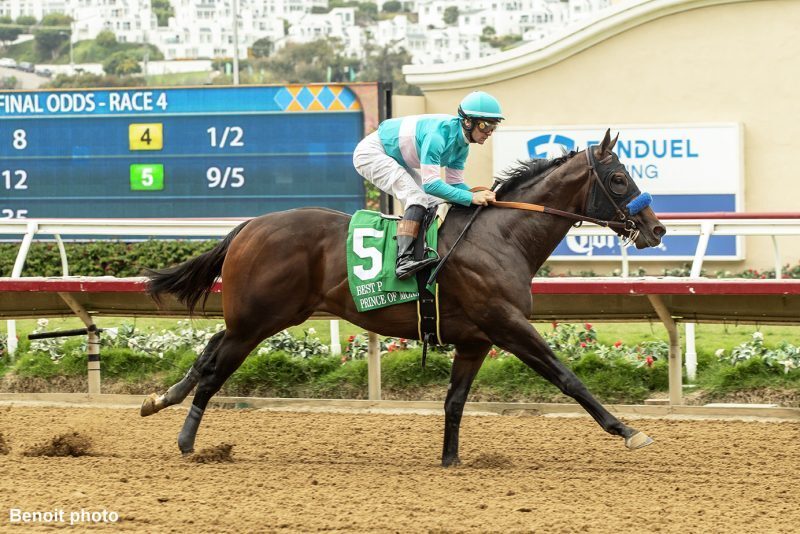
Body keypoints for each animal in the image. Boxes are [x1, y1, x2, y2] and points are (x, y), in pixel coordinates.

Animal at [145, 132, 668, 466]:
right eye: (619, 179)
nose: (656, 229)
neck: (502, 236)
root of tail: (250, 225)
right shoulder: (508, 325)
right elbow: (568, 378)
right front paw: (628, 431)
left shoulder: (476, 339)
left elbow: (454, 401)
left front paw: (450, 459)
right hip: (258, 320)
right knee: (215, 371)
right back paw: (188, 443)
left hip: (260, 317)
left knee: (209, 350)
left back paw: (160, 399)